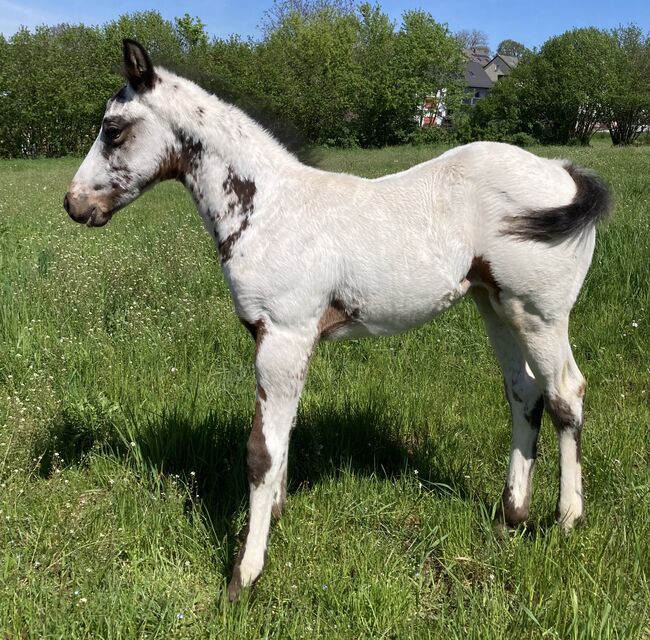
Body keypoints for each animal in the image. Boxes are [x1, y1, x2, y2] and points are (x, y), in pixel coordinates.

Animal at [63, 40, 612, 600]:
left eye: (112, 129)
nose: (74, 204)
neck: (270, 208)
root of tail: (563, 172)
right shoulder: (289, 342)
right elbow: (284, 432)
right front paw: (276, 514)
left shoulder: (282, 335)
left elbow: (261, 451)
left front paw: (244, 574)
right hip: (495, 305)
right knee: (525, 393)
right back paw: (510, 517)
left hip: (542, 313)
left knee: (566, 393)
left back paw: (567, 520)